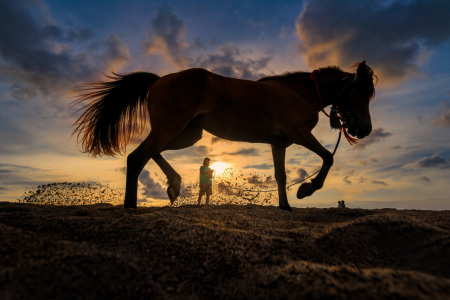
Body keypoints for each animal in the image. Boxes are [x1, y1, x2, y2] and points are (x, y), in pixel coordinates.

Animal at [74, 61, 376, 211]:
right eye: (362, 93)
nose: (365, 129)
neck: (298, 93)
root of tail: (159, 79)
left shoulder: (279, 143)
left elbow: (280, 176)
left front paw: (286, 206)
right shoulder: (299, 133)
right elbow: (327, 158)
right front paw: (307, 189)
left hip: (186, 134)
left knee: (150, 153)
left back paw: (173, 184)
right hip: (171, 128)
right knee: (137, 158)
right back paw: (130, 206)